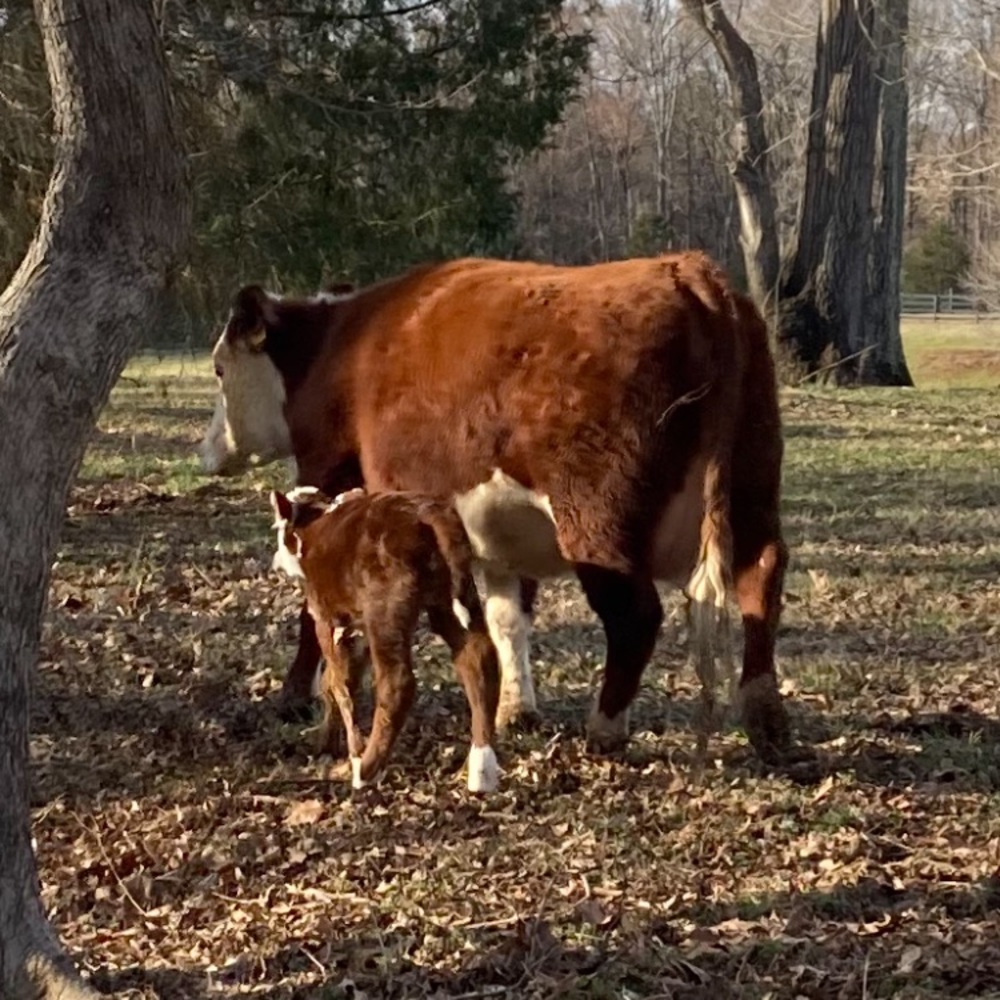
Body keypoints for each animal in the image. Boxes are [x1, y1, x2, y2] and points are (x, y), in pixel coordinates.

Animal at [269, 485, 501, 792]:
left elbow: (338, 685)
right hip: (450, 600)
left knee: (397, 682)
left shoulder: (325, 618)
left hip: (386, 611)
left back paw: (367, 770)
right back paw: (481, 768)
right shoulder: (356, 628)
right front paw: (329, 745)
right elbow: (342, 680)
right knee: (479, 658)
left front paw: (351, 752)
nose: (275, 561)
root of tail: (427, 513)